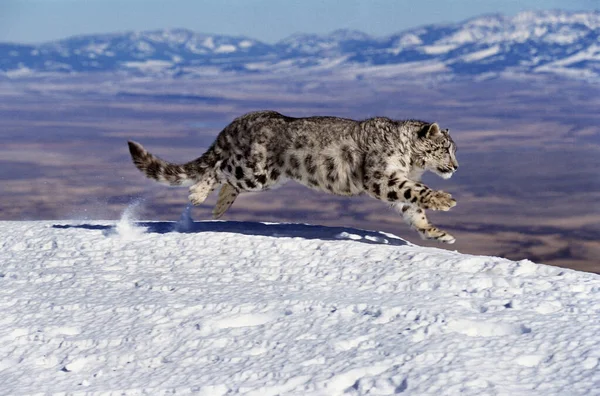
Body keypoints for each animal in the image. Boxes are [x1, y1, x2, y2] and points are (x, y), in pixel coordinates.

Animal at [127, 110, 460, 243]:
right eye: (445, 149)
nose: (456, 167)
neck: (410, 162)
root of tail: (242, 119)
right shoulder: (381, 177)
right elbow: (416, 190)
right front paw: (444, 200)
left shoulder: (393, 182)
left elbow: (412, 208)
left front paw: (437, 233)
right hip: (256, 170)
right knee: (219, 167)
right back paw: (198, 195)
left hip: (260, 175)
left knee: (226, 177)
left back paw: (219, 207)